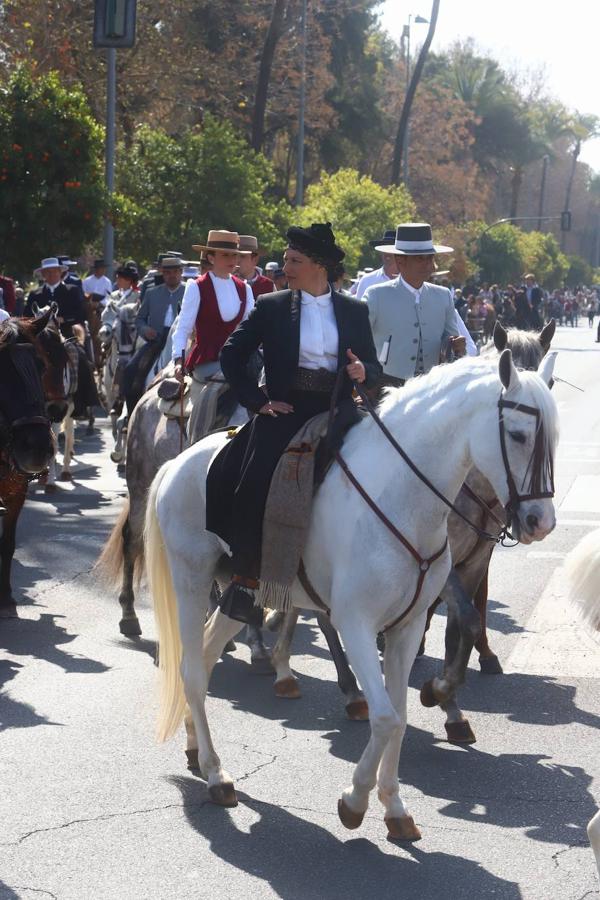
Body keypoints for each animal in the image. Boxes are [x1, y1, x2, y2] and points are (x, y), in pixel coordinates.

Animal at [145, 350, 556, 836]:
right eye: (518, 434)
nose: (541, 522)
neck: (403, 494)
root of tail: (177, 464)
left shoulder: (406, 628)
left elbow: (399, 716)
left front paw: (394, 807)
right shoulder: (357, 624)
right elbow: (385, 717)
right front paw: (355, 800)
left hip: (238, 593)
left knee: (206, 660)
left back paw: (197, 748)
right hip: (190, 581)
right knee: (191, 670)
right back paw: (216, 774)